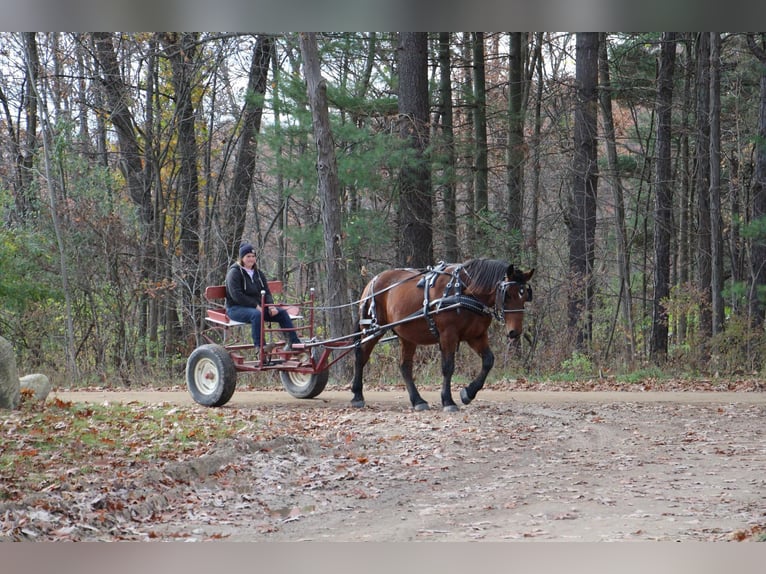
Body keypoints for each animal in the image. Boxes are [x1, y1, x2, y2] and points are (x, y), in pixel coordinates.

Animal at [352, 258, 536, 412]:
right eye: (508, 294)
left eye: (525, 296)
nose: (514, 332)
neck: (464, 291)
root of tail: (372, 281)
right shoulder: (448, 334)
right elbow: (448, 367)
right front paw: (448, 401)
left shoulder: (476, 336)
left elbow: (488, 361)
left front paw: (468, 393)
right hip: (372, 329)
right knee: (361, 357)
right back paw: (357, 396)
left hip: (407, 336)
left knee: (405, 366)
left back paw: (418, 401)